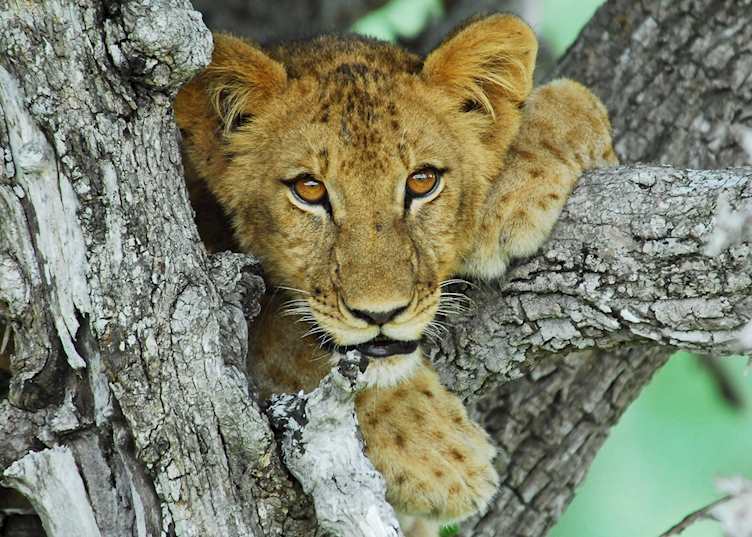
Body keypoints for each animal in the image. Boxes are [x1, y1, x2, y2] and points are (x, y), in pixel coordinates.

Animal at [174, 14, 616, 536]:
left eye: (422, 181)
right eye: (309, 189)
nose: (380, 314)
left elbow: (575, 95)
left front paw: (505, 198)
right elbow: (284, 335)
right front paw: (434, 451)